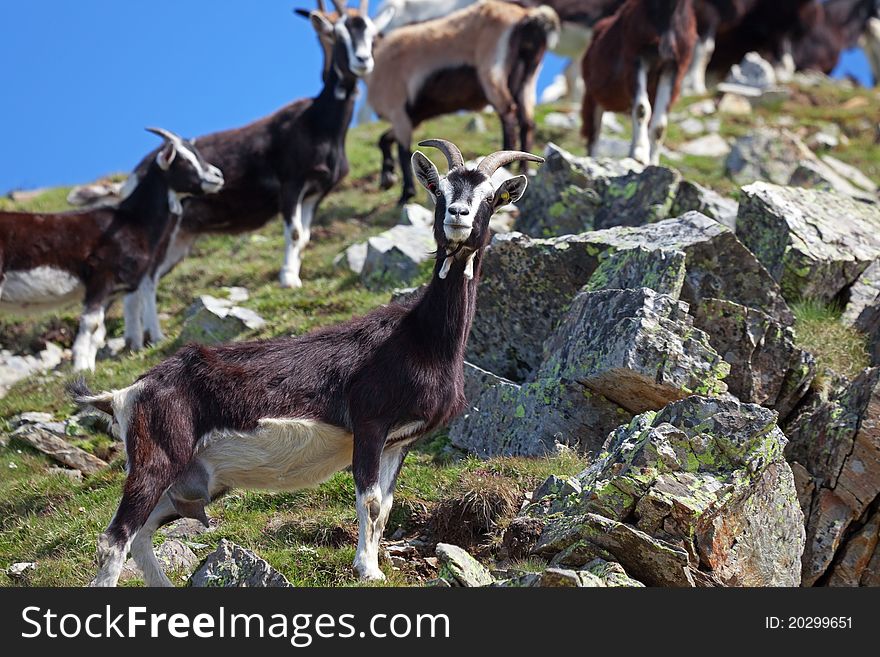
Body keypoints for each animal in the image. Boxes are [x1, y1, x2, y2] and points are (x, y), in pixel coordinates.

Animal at [0, 129, 223, 372]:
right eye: (184, 161)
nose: (218, 176)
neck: (132, 221)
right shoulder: (100, 277)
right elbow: (91, 323)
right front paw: (80, 367)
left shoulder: (115, 289)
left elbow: (100, 331)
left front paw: (89, 369)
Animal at [74, 140, 544, 584]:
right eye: (439, 190)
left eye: (490, 196)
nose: (458, 217)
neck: (421, 337)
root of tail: (128, 392)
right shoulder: (370, 422)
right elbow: (371, 501)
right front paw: (367, 570)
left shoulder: (401, 441)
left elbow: (387, 507)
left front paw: (375, 564)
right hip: (156, 458)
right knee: (114, 538)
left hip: (190, 479)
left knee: (141, 536)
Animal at [364, 0, 556, 204]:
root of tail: (527, 18)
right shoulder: (413, 118)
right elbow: (384, 139)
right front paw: (387, 178)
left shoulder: (399, 112)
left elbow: (402, 151)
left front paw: (405, 194)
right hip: (526, 78)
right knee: (527, 120)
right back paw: (523, 168)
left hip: (492, 73)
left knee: (508, 112)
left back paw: (509, 166)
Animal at [580, 0, 696, 167]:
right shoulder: (636, 56)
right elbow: (642, 109)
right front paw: (639, 155)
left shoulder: (673, 65)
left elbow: (659, 126)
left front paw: (652, 162)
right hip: (593, 94)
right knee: (593, 132)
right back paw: (593, 159)